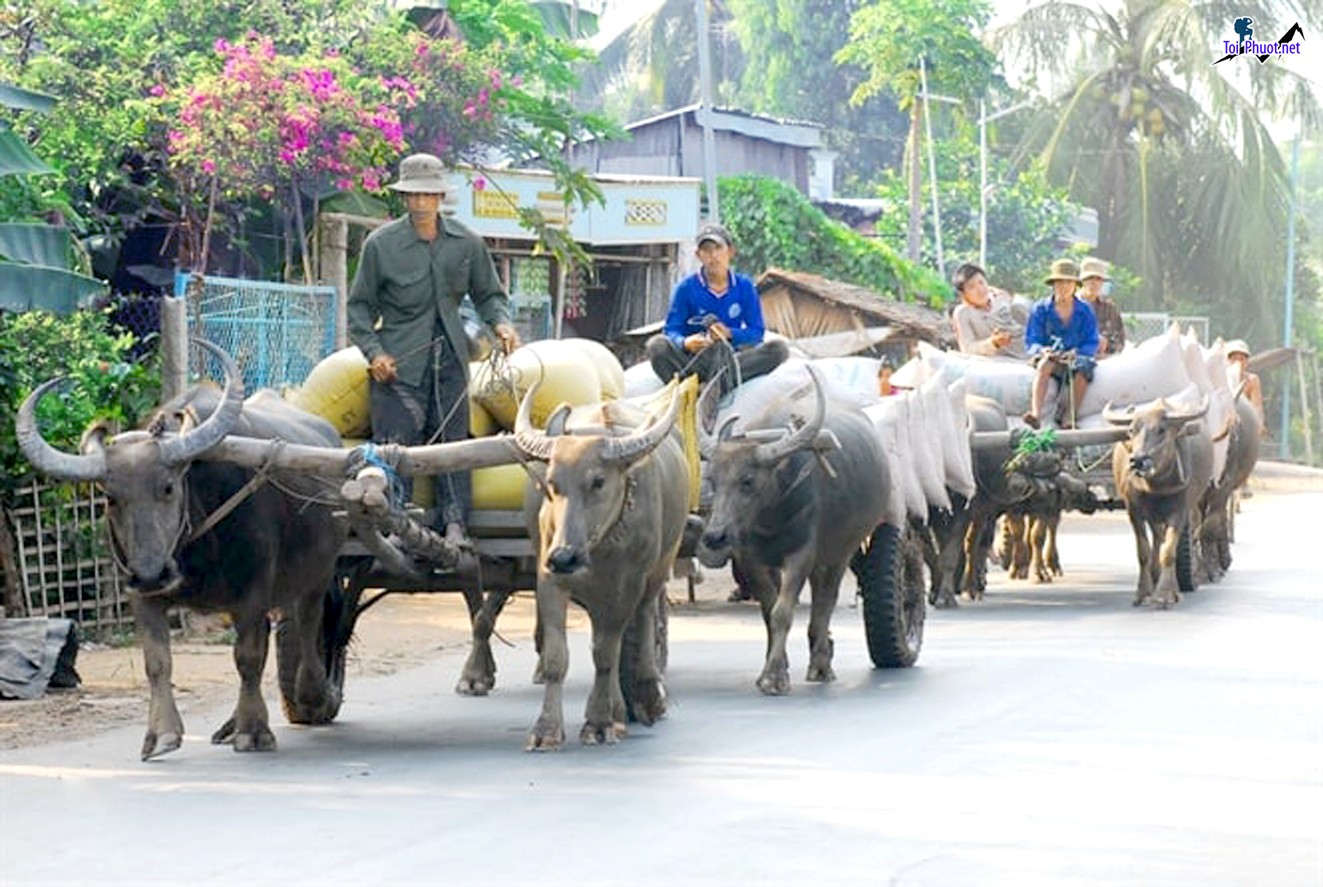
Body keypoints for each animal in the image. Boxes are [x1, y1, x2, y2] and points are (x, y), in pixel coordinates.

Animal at [16, 344, 346, 762]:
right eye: (110, 498)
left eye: (168, 487)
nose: (151, 573)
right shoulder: (142, 596)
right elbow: (157, 663)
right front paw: (161, 735)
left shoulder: (252, 595)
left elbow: (247, 658)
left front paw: (253, 731)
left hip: (319, 573)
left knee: (307, 622)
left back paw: (313, 694)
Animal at [510, 389, 687, 751]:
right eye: (551, 482)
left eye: (598, 481)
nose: (564, 557)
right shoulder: (549, 579)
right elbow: (557, 657)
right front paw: (547, 729)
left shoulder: (625, 588)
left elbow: (606, 654)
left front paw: (599, 722)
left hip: (659, 569)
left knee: (645, 619)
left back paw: (645, 697)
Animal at [698, 368, 894, 693]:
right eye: (712, 479)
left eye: (748, 480)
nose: (715, 536)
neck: (770, 519)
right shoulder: (750, 559)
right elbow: (769, 610)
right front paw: (777, 667)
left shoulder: (801, 555)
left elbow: (783, 611)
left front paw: (773, 677)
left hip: (843, 549)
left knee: (827, 601)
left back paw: (821, 663)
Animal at [1106, 399, 1211, 608]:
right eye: (1131, 430)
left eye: (1161, 430)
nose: (1137, 461)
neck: (1155, 486)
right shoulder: (1134, 511)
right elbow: (1143, 552)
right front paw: (1143, 592)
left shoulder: (1179, 512)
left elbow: (1168, 552)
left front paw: (1165, 594)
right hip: (1153, 516)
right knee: (1157, 537)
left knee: (1163, 542)